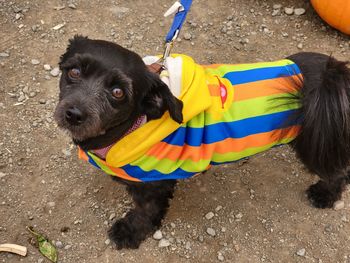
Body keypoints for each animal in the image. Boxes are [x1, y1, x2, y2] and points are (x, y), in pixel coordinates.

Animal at [54, 36, 350, 250]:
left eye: (118, 92)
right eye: (74, 72)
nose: (74, 114)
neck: (134, 125)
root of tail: (335, 73)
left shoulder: (154, 184)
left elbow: (145, 212)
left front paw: (130, 232)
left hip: (316, 141)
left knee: (336, 171)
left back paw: (325, 194)